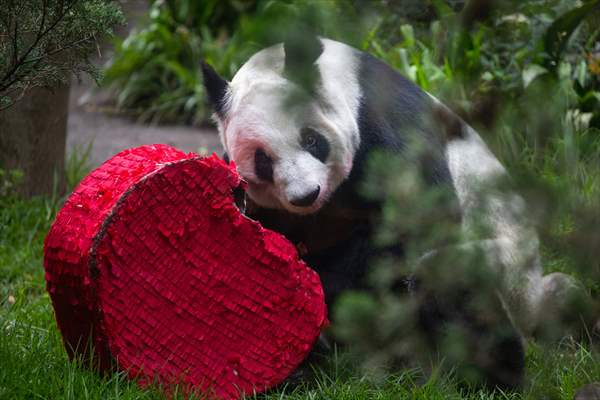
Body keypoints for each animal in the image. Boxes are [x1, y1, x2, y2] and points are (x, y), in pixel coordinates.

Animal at [200, 36, 592, 390]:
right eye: (263, 160)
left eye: (311, 140)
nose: (305, 195)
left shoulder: (383, 123)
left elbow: (419, 220)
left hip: (506, 267)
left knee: (449, 278)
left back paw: (491, 380)